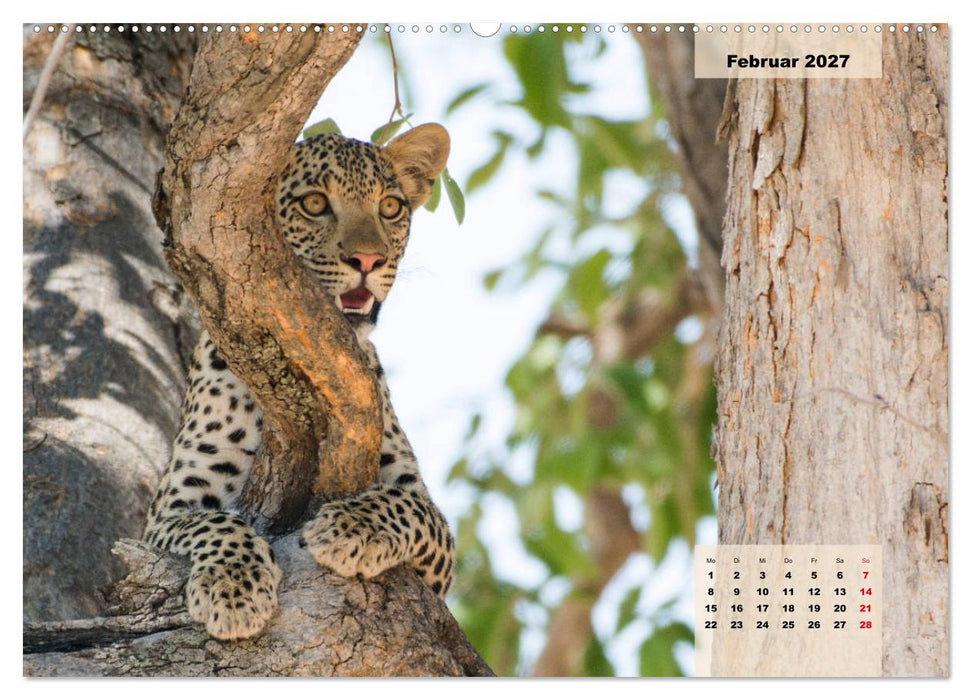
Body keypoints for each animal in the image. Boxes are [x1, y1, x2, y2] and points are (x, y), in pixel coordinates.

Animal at [143, 124, 455, 641]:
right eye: (314, 203)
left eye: (390, 207)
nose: (367, 259)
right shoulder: (167, 510)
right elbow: (213, 522)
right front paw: (233, 588)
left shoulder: (436, 560)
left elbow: (417, 510)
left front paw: (353, 528)